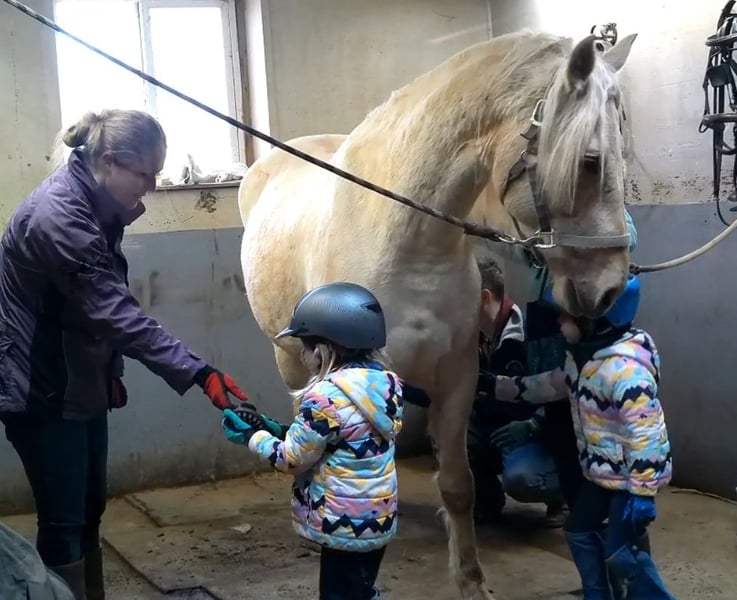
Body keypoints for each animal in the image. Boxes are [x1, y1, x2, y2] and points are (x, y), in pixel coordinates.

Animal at [237, 29, 637, 600]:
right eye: (588, 161)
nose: (607, 287)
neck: (404, 235)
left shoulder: (458, 375)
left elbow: (458, 483)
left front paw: (470, 578)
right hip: (291, 358)